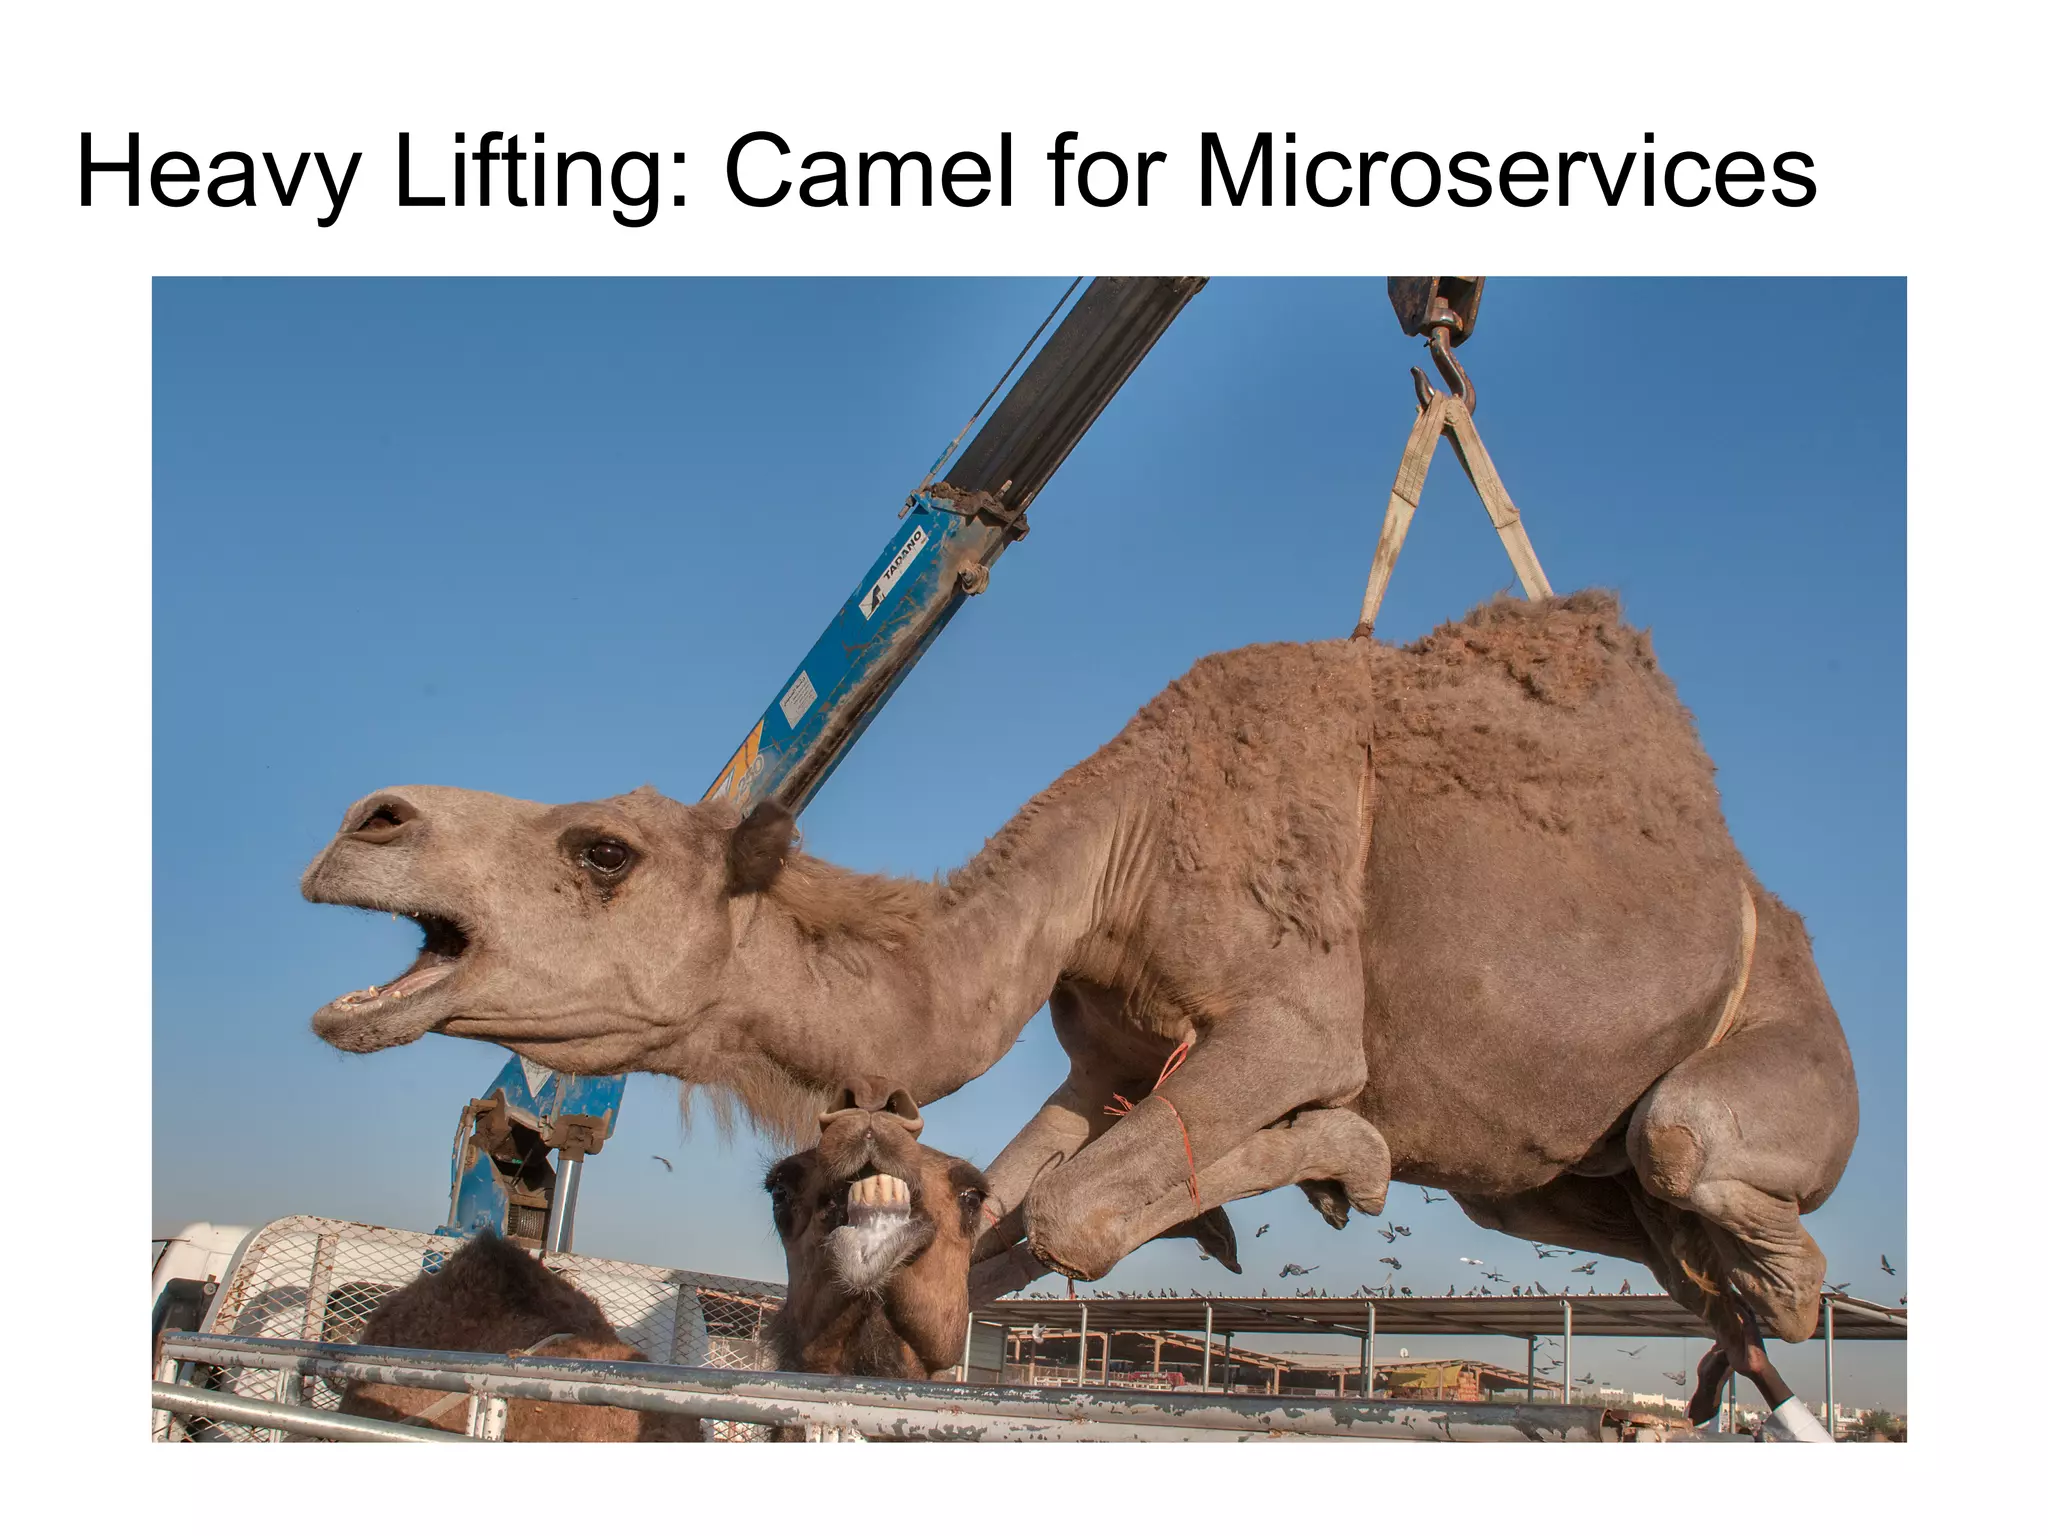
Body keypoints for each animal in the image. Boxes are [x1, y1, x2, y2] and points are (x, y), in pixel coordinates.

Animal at [301, 591, 1858, 1408]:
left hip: (1785, 1059)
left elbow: (1083, 1210)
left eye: (603, 851)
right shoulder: (1100, 1056)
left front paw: (1337, 1163)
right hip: (1529, 1184)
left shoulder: (1288, 1019)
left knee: (1687, 1144)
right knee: (1620, 1203)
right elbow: (1019, 1199)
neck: (1121, 851)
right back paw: (1735, 1307)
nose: (368, 821)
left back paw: (1775, 1295)